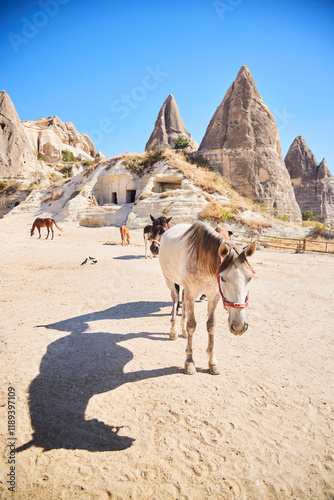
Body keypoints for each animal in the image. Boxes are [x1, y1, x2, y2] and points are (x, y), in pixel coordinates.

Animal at [159, 223, 256, 376]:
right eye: (223, 278)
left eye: (250, 278)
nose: (239, 326)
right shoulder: (192, 293)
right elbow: (192, 325)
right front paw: (189, 362)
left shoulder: (213, 296)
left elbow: (211, 325)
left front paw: (212, 362)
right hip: (169, 280)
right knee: (175, 300)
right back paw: (173, 331)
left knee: (183, 301)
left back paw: (183, 331)